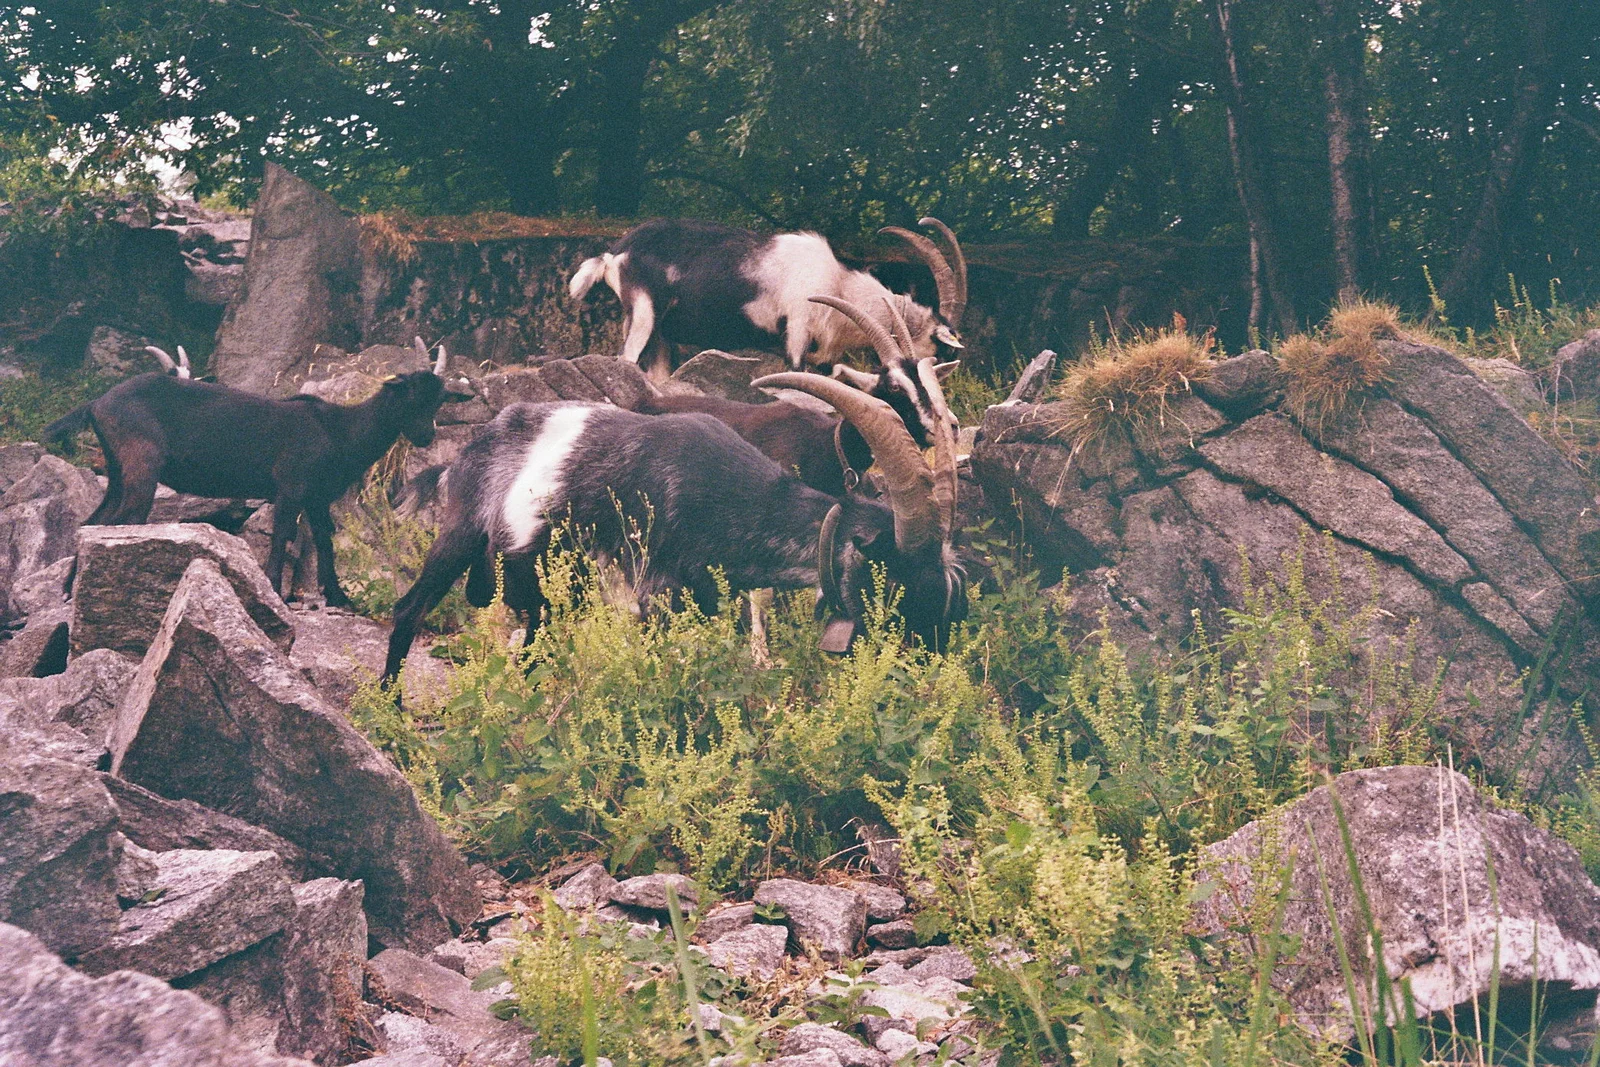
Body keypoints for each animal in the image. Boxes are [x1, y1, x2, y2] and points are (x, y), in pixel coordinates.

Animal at [44, 345, 469, 607]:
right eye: (408, 393)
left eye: (439, 399)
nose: (425, 435)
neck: (340, 430)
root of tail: (96, 404)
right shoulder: (291, 486)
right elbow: (282, 535)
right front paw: (276, 592)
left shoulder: (317, 497)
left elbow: (325, 540)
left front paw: (339, 597)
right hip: (141, 467)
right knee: (118, 522)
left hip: (118, 470)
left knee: (93, 521)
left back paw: (68, 591)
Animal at [381, 294, 964, 689]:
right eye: (897, 578)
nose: (929, 664)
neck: (728, 495)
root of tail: (466, 452)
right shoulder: (655, 599)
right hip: (460, 535)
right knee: (408, 610)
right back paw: (393, 712)